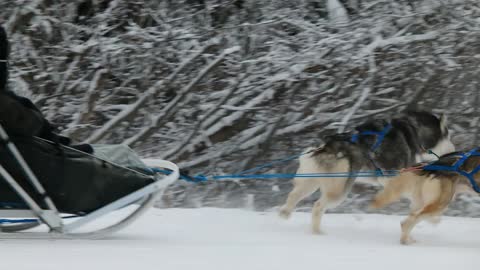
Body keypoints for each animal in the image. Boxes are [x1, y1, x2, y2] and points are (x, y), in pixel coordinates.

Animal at [278, 111, 454, 234]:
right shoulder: (394, 175)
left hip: (311, 182)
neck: (413, 131)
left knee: (294, 195)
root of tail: (328, 145)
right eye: (447, 135)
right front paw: (433, 219)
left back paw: (285, 213)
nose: (453, 149)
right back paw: (317, 232)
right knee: (318, 206)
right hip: (338, 190)